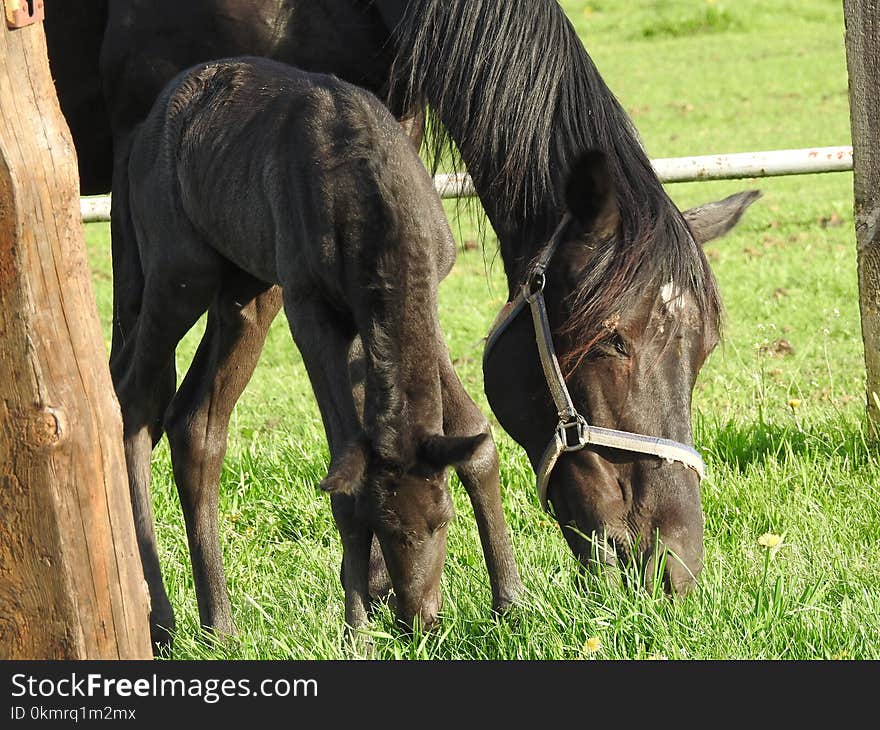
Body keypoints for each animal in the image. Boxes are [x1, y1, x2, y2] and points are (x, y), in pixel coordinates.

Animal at [48, 0, 760, 624]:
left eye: (703, 353)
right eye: (611, 341)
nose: (672, 567)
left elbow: (427, 424)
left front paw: (477, 601)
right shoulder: (296, 286)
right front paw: (366, 610)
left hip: (241, 283)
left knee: (196, 423)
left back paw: (217, 621)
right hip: (180, 273)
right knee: (133, 403)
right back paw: (158, 618)